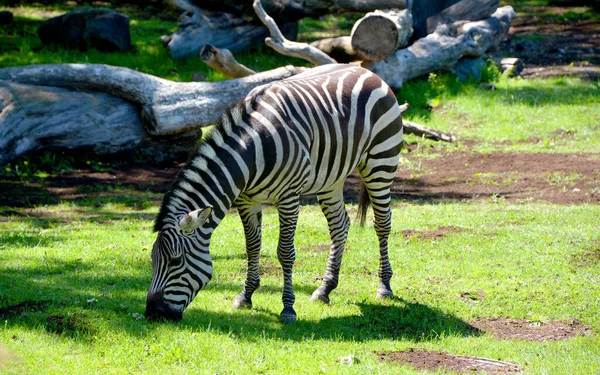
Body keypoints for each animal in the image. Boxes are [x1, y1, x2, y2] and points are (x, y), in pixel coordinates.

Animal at [145, 63, 404, 324]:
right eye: (153, 259)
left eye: (176, 260)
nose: (153, 313)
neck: (251, 150)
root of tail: (365, 70)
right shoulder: (246, 199)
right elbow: (252, 247)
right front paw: (245, 296)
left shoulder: (289, 197)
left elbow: (285, 252)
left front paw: (288, 308)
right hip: (331, 178)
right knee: (339, 226)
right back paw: (325, 289)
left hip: (381, 162)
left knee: (382, 223)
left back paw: (384, 286)